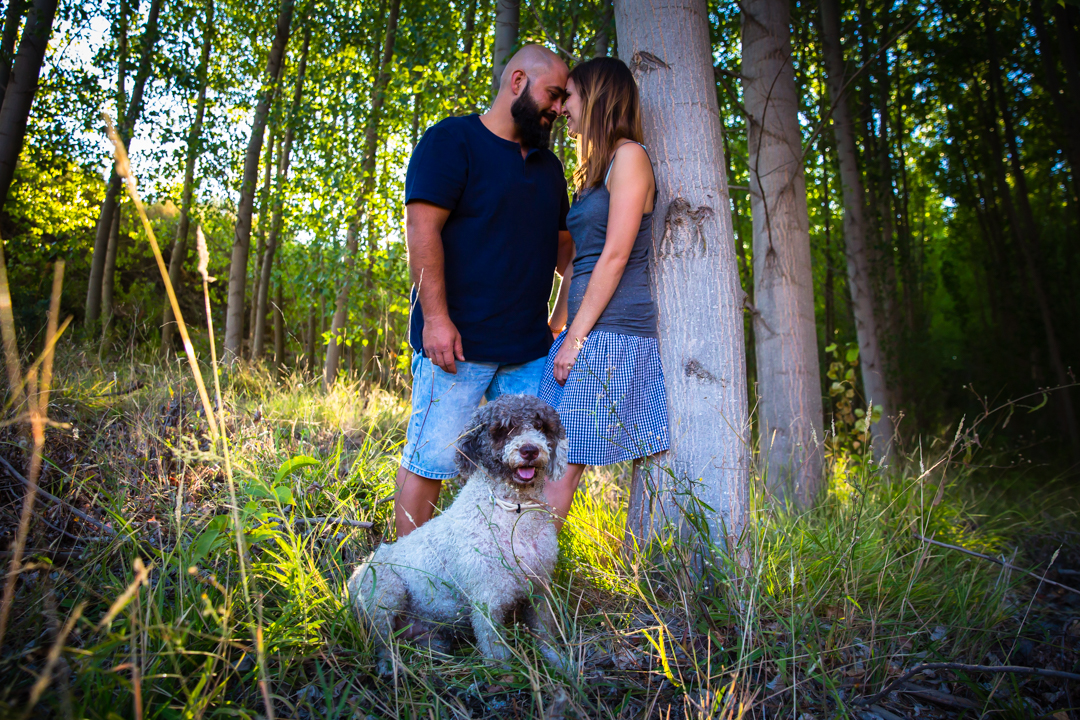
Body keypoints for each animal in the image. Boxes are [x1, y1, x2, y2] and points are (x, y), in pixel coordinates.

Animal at [352, 390, 574, 673]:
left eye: (541, 426)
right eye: (503, 429)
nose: (530, 450)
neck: (512, 512)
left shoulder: (539, 588)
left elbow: (545, 634)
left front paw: (559, 663)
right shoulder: (487, 602)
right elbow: (496, 652)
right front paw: (505, 677)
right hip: (384, 592)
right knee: (382, 642)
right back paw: (389, 667)